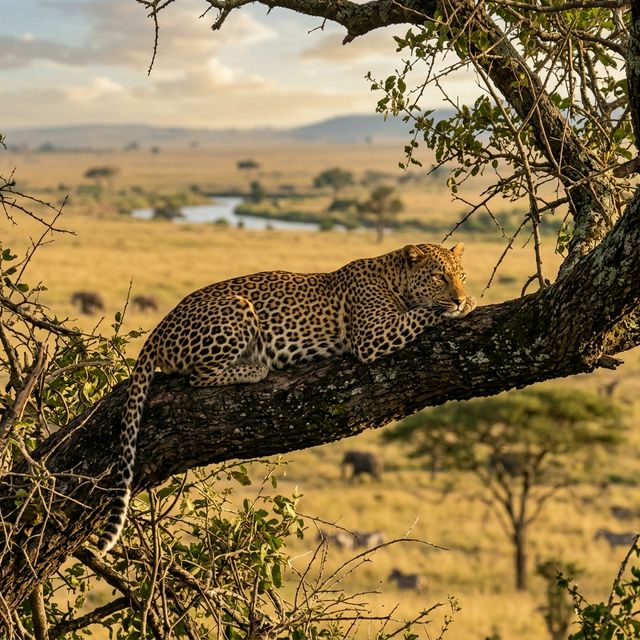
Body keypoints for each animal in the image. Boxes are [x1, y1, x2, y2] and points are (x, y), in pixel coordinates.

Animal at [97, 242, 476, 553]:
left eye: (461, 275)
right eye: (439, 277)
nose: (459, 297)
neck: (394, 277)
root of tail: (160, 326)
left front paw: (467, 301)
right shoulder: (373, 336)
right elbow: (424, 313)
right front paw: (464, 305)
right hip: (237, 308)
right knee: (198, 375)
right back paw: (255, 368)